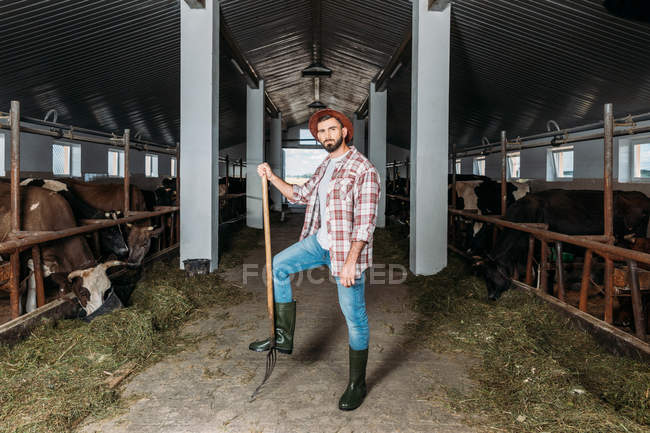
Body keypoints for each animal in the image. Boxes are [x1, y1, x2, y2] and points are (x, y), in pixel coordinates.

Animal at [478, 189, 648, 300]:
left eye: (491, 275)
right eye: (484, 276)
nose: (491, 297)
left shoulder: (545, 245)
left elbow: (547, 270)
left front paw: (548, 292)